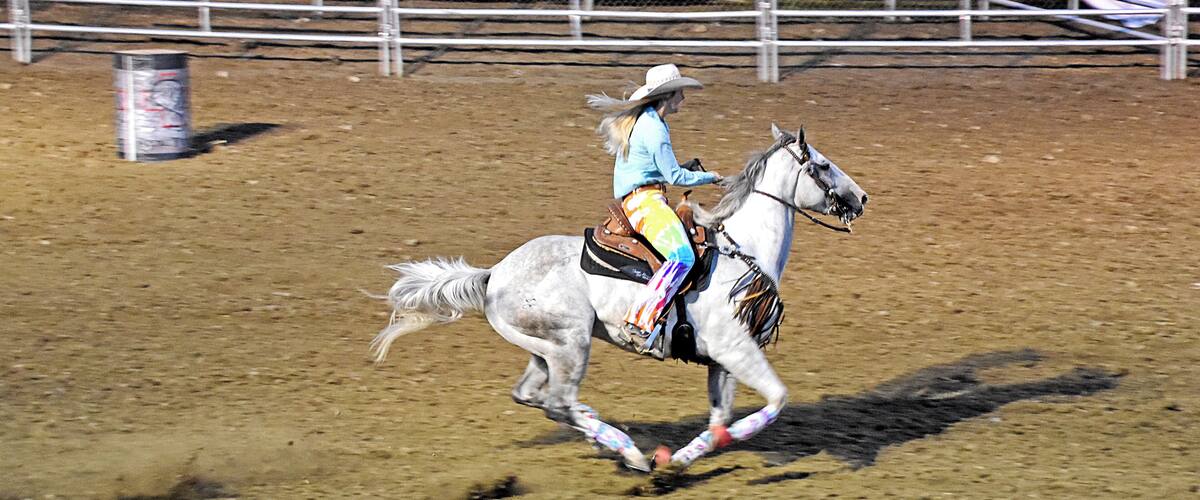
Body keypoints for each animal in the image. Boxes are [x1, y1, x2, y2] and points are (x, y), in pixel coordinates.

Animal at [371, 124, 868, 472]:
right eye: (822, 164)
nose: (861, 197)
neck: (740, 251)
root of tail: (494, 275)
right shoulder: (736, 350)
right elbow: (776, 401)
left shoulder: (722, 359)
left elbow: (719, 421)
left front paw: (677, 462)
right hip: (571, 345)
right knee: (558, 401)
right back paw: (629, 452)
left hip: (544, 349)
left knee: (535, 397)